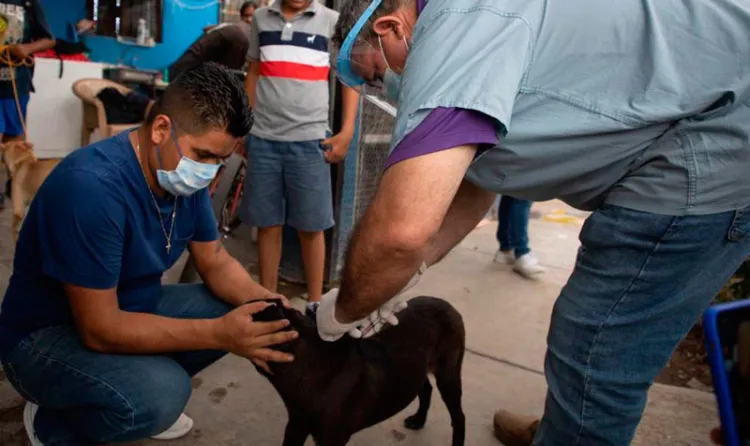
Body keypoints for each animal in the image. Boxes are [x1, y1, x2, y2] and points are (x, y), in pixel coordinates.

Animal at [253, 296, 464, 446]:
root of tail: (447, 305)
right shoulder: (296, 425)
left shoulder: (331, 438)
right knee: (425, 388)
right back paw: (419, 420)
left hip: (449, 376)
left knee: (458, 416)